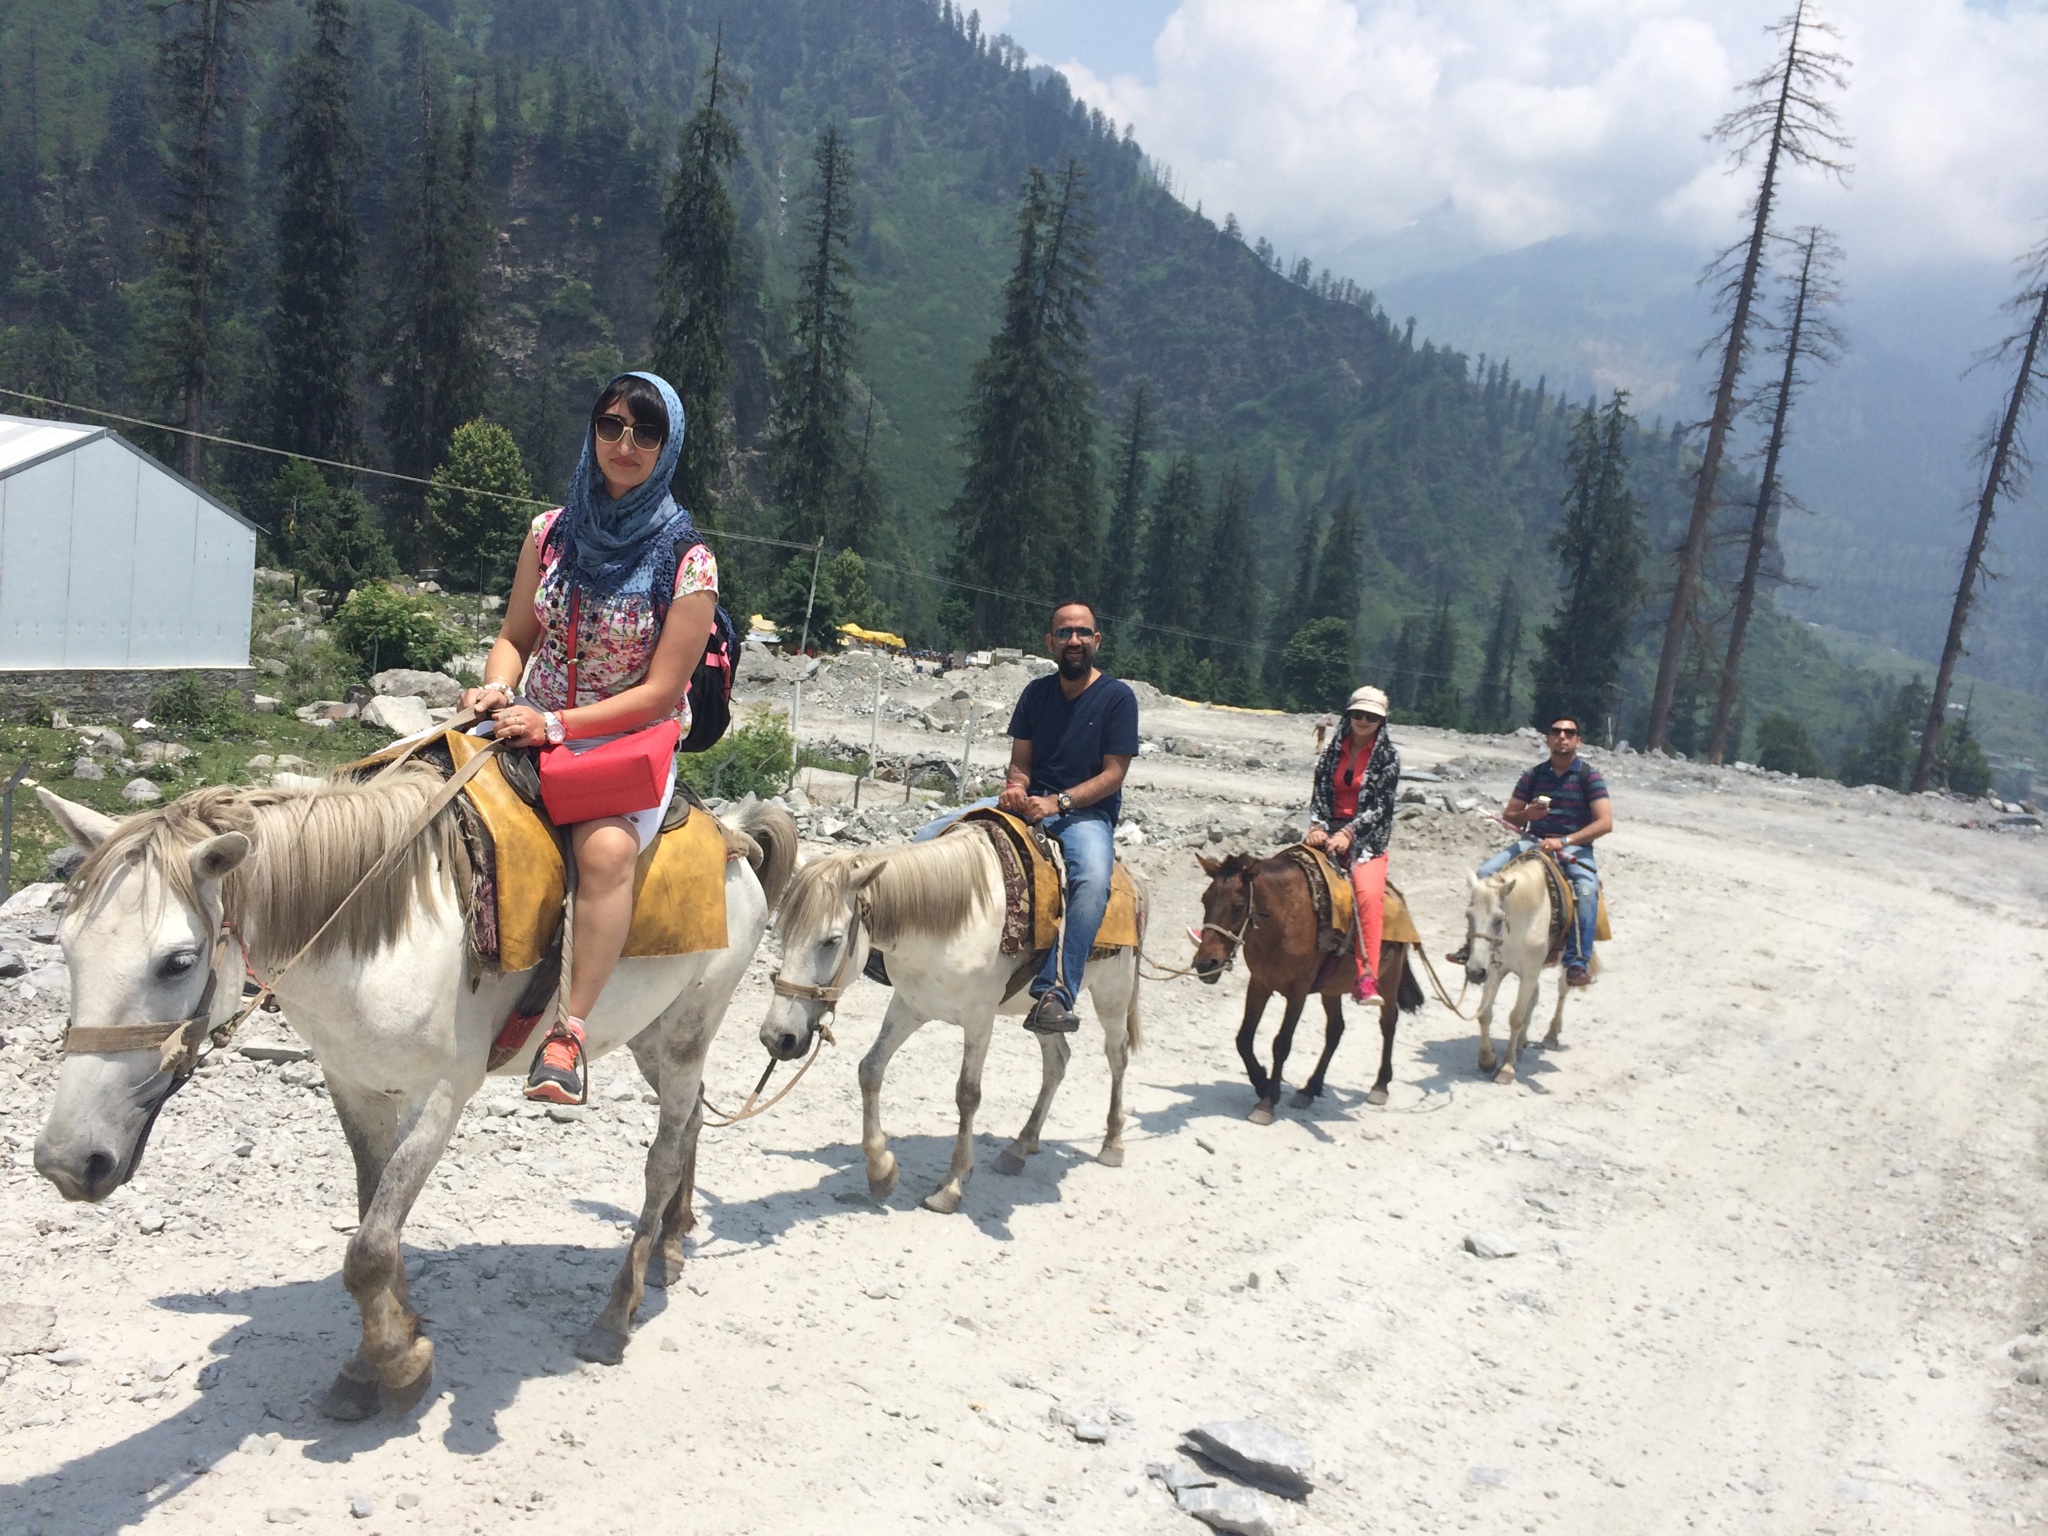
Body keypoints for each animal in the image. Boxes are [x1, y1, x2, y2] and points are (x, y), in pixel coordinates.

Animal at [34, 774, 798, 1425]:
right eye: (65, 949)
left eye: (178, 962)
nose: (68, 1162)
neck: (375, 936)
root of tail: (733, 835)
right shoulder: (354, 1086)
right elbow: (374, 1218)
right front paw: (379, 1354)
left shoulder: (438, 1099)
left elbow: (370, 1249)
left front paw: (398, 1369)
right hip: (650, 1037)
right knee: (692, 1119)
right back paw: (671, 1245)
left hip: (686, 1032)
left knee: (663, 1155)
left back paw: (617, 1313)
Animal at [761, 831, 1146, 1212]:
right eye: (782, 933)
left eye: (831, 940)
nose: (776, 1037)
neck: (954, 921)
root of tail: (1132, 882)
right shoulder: (910, 1005)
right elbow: (870, 1069)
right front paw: (881, 1171)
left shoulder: (979, 1019)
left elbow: (968, 1094)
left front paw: (952, 1185)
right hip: (1042, 1014)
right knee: (1057, 1061)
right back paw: (1020, 1147)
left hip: (1113, 993)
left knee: (1117, 1056)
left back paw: (1112, 1144)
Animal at [1196, 847, 1417, 1122]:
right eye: (1204, 900)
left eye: (1238, 906)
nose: (1206, 963)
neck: (1284, 919)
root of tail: (1398, 897)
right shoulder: (1260, 983)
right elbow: (1244, 1039)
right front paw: (1262, 1083)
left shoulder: (1298, 991)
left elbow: (1281, 1044)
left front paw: (1267, 1103)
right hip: (1331, 990)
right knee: (1335, 1030)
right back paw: (1310, 1089)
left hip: (1389, 978)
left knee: (1388, 1023)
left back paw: (1380, 1085)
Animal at [1449, 860, 1589, 1089]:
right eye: (1468, 915)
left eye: (1498, 919)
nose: (1474, 972)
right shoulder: (1494, 969)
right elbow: (1484, 1014)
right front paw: (1487, 1060)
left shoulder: (1529, 972)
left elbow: (1516, 1018)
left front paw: (1506, 1067)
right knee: (1535, 997)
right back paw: (1521, 1044)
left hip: (1563, 966)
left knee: (1562, 990)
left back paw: (1551, 1036)